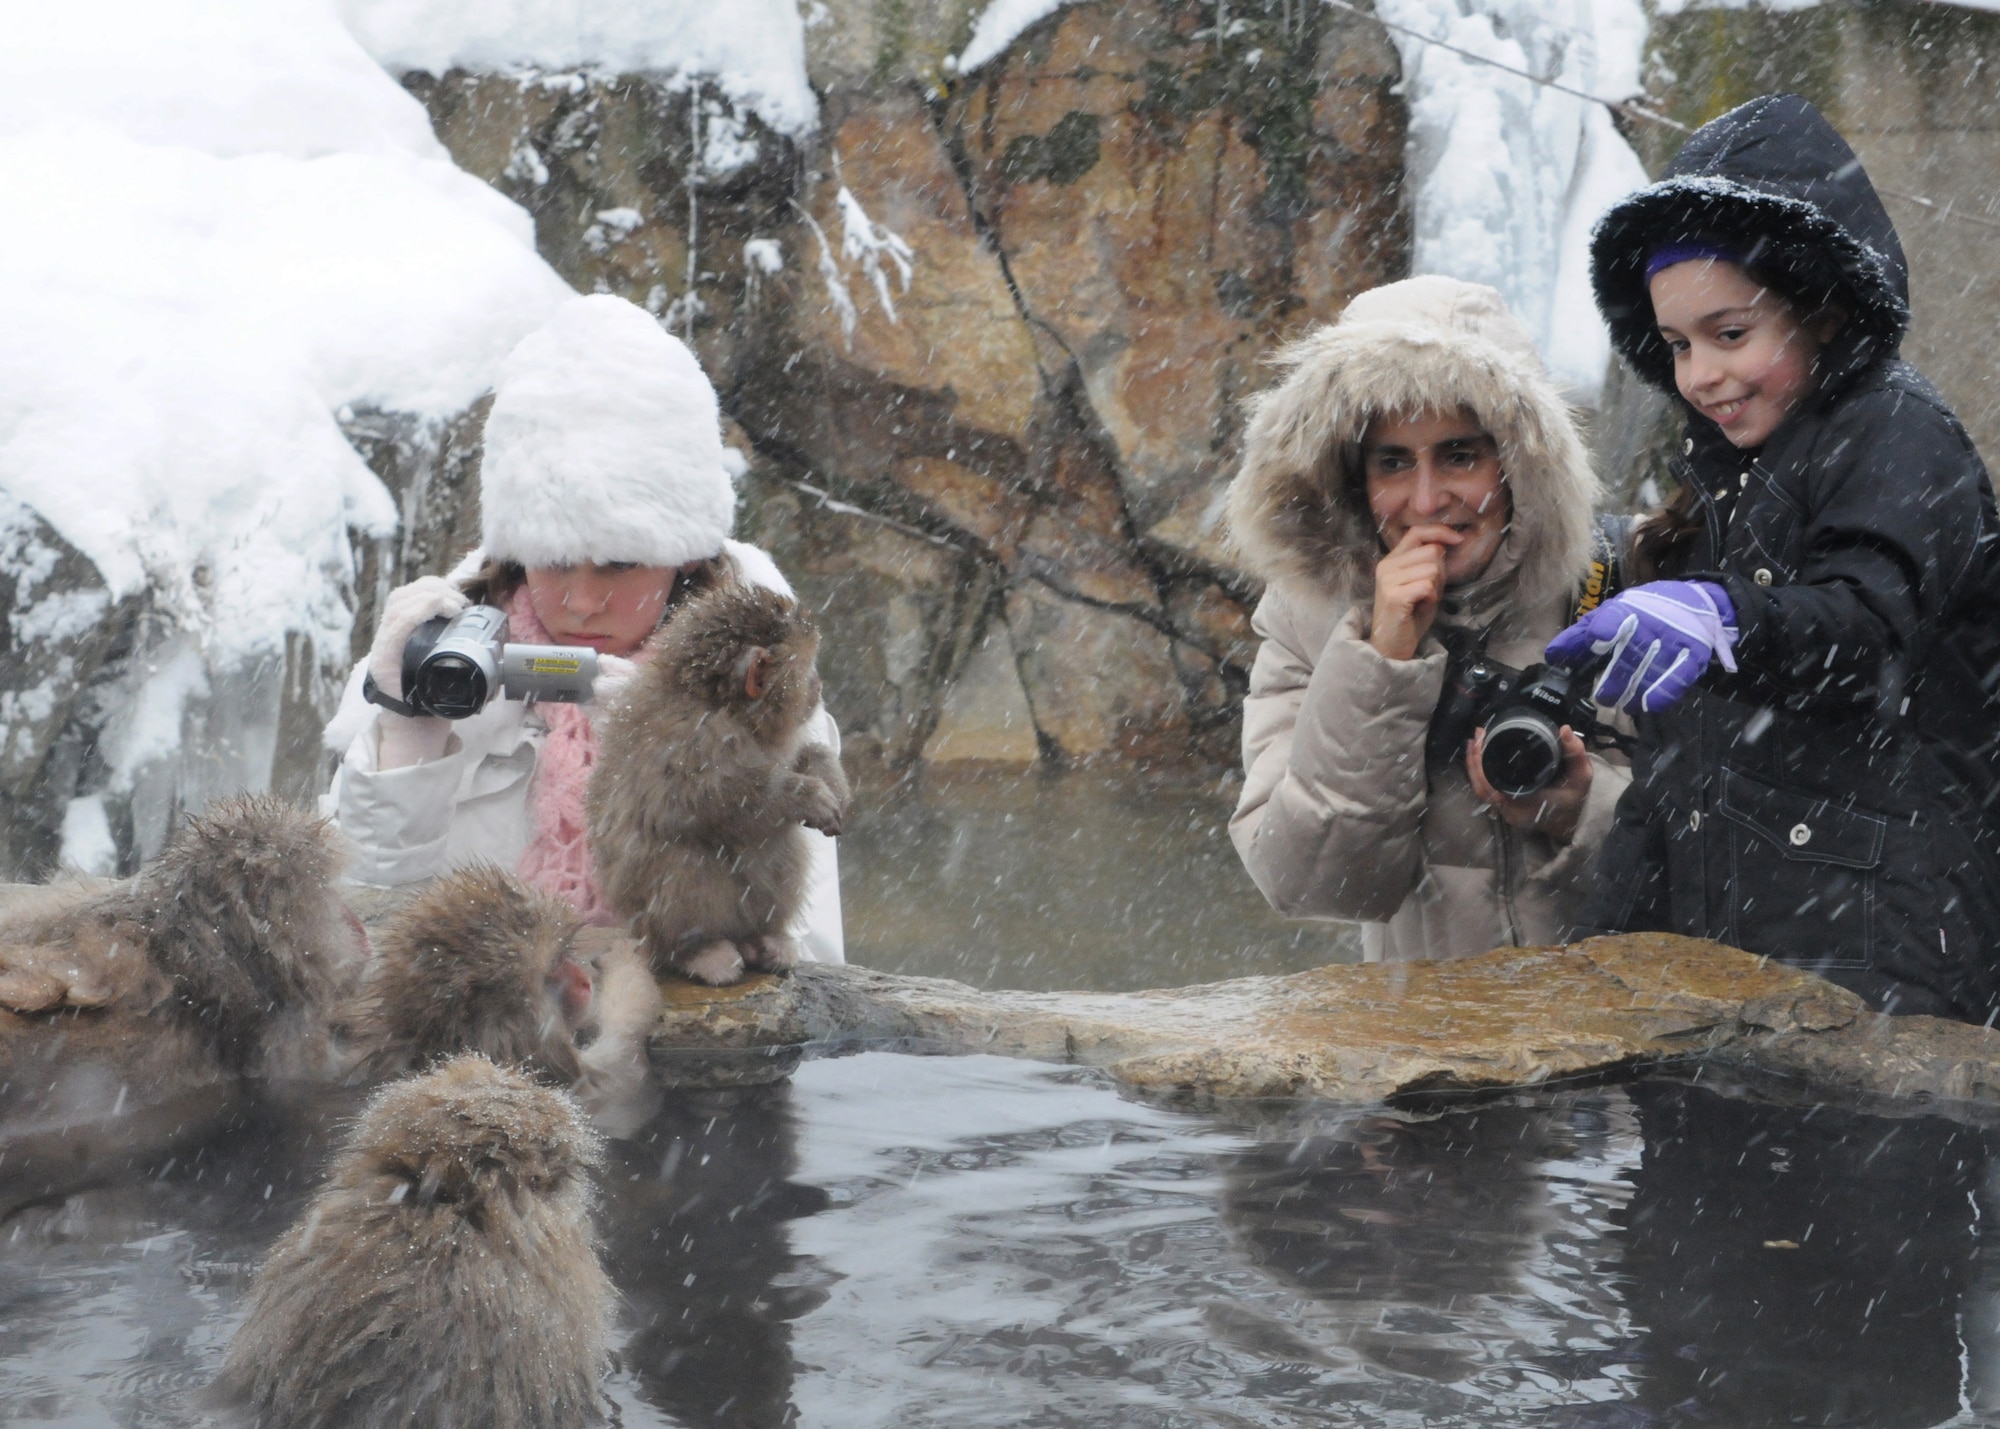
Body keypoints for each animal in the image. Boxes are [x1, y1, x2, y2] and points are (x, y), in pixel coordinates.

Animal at [587, 583, 849, 986]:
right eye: (808, 670)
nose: (818, 686)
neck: (729, 708)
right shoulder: (692, 737)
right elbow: (700, 798)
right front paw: (805, 795)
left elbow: (802, 754)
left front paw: (828, 776)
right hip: (645, 919)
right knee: (682, 853)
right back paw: (696, 952)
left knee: (780, 842)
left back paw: (763, 939)